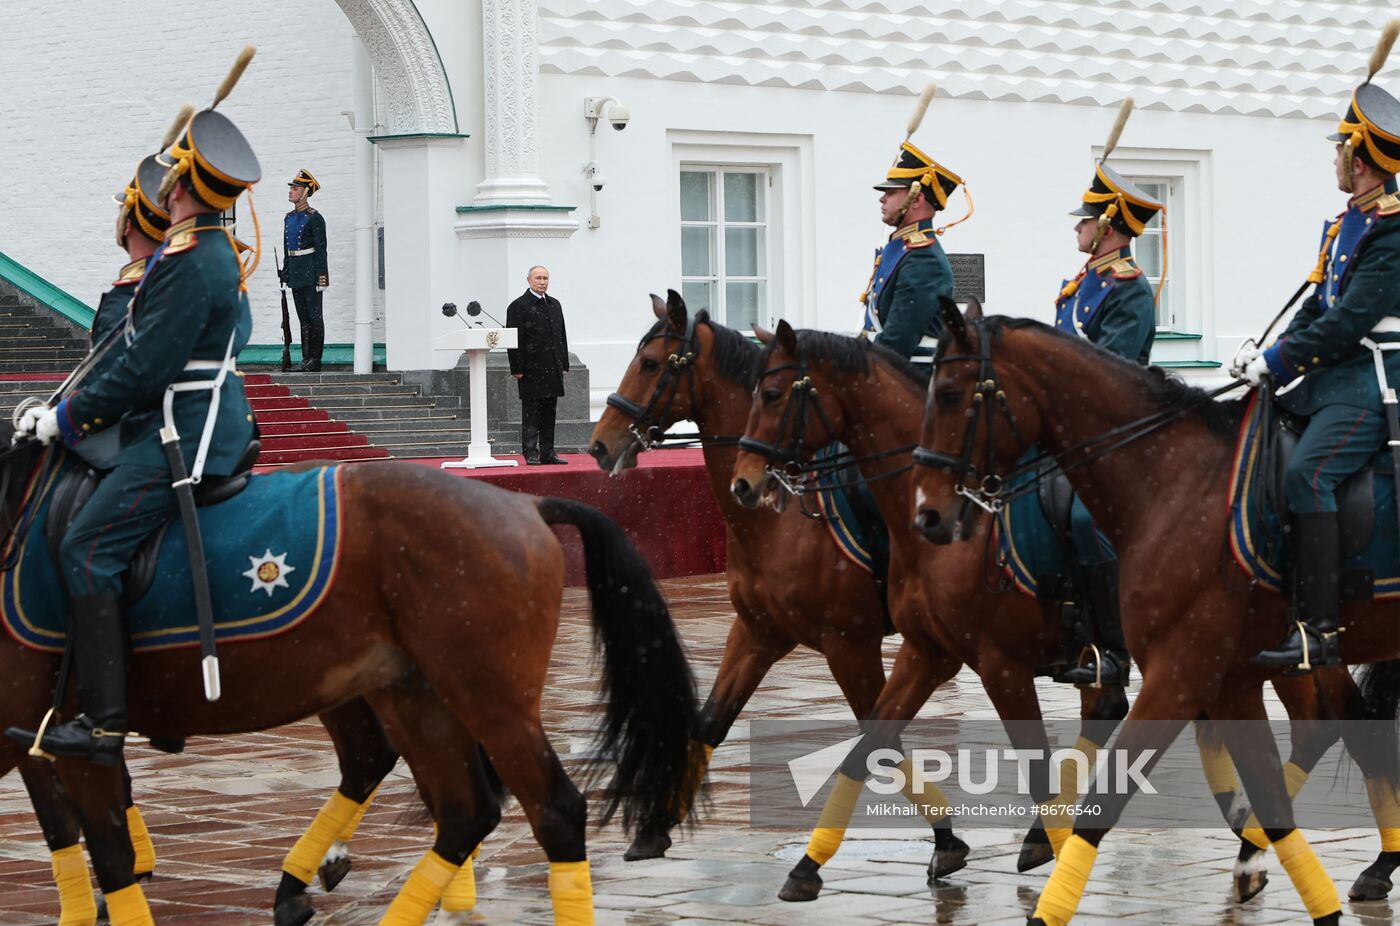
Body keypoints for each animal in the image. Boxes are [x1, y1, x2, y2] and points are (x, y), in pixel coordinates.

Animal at [0, 434, 700, 924]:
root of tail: (522, 500)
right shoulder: (35, 739)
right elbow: (79, 832)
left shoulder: (61, 736)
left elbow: (106, 848)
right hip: (410, 694)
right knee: (457, 807)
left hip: (487, 701)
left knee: (548, 810)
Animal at [585, 292, 968, 879]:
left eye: (650, 363)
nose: (600, 446)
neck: (779, 515)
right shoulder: (758, 633)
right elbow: (711, 723)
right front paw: (655, 827)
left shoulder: (849, 644)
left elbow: (882, 739)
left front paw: (946, 838)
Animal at [907, 306, 1400, 918]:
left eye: (951, 394)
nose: (928, 515)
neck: (1172, 479)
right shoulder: (1224, 678)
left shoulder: (1169, 671)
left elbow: (1099, 796)